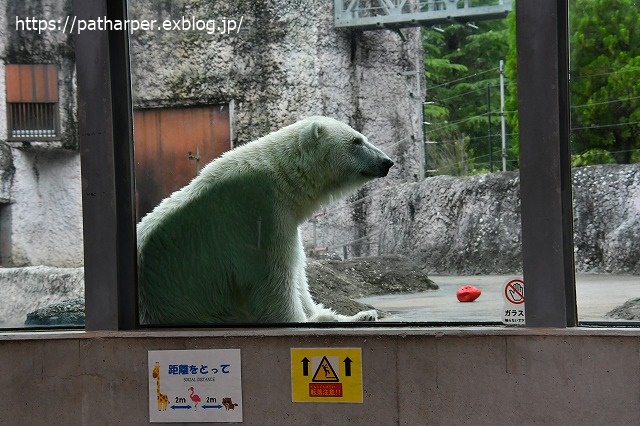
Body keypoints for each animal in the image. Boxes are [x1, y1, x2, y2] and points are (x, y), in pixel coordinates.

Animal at [138, 115, 392, 324]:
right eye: (356, 141)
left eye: (362, 137)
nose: (387, 161)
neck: (282, 179)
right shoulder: (257, 213)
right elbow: (272, 278)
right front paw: (299, 320)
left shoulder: (285, 217)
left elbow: (298, 271)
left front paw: (356, 314)